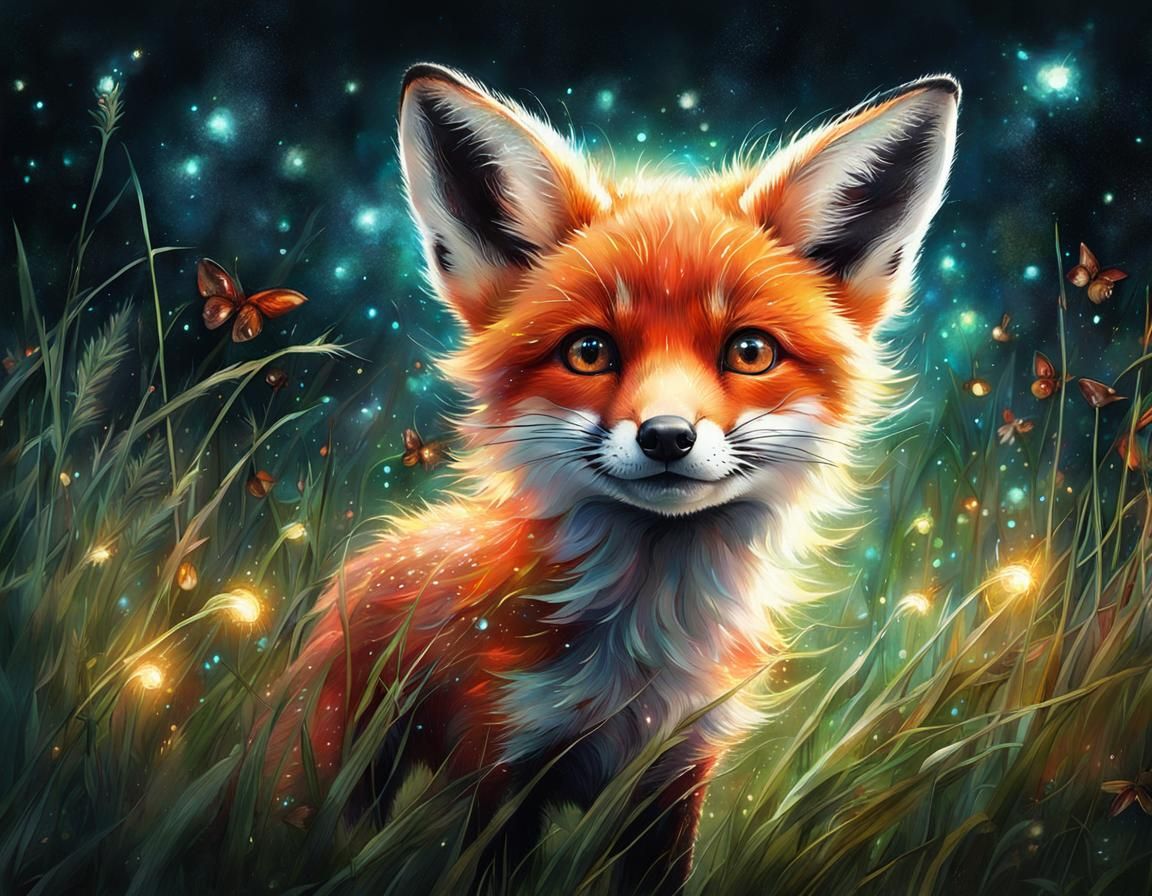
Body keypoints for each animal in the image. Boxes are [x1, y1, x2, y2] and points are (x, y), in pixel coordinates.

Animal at [260, 63, 959, 891]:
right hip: (327, 766)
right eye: (589, 352)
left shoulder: (674, 774)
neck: (641, 654)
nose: (667, 437)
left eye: (750, 351)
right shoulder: (501, 765)